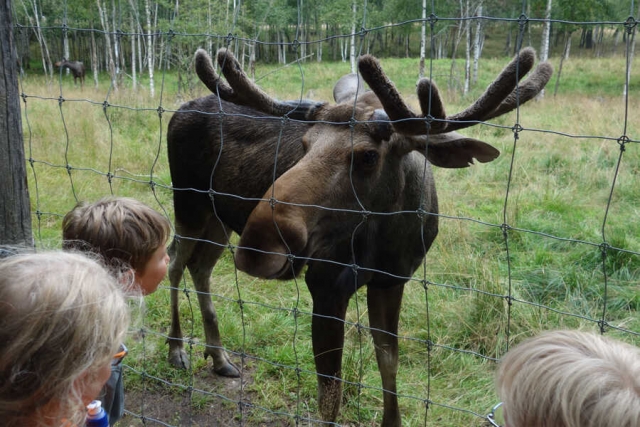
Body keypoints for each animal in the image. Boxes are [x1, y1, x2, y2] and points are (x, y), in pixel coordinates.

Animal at [168, 46, 552, 424]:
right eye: (305, 143)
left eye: (368, 156)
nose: (258, 246)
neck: (389, 237)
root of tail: (178, 110)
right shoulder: (325, 285)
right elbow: (330, 396)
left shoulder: (392, 280)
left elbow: (389, 364)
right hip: (188, 204)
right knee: (174, 261)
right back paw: (177, 349)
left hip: (218, 218)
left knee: (200, 267)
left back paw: (219, 357)